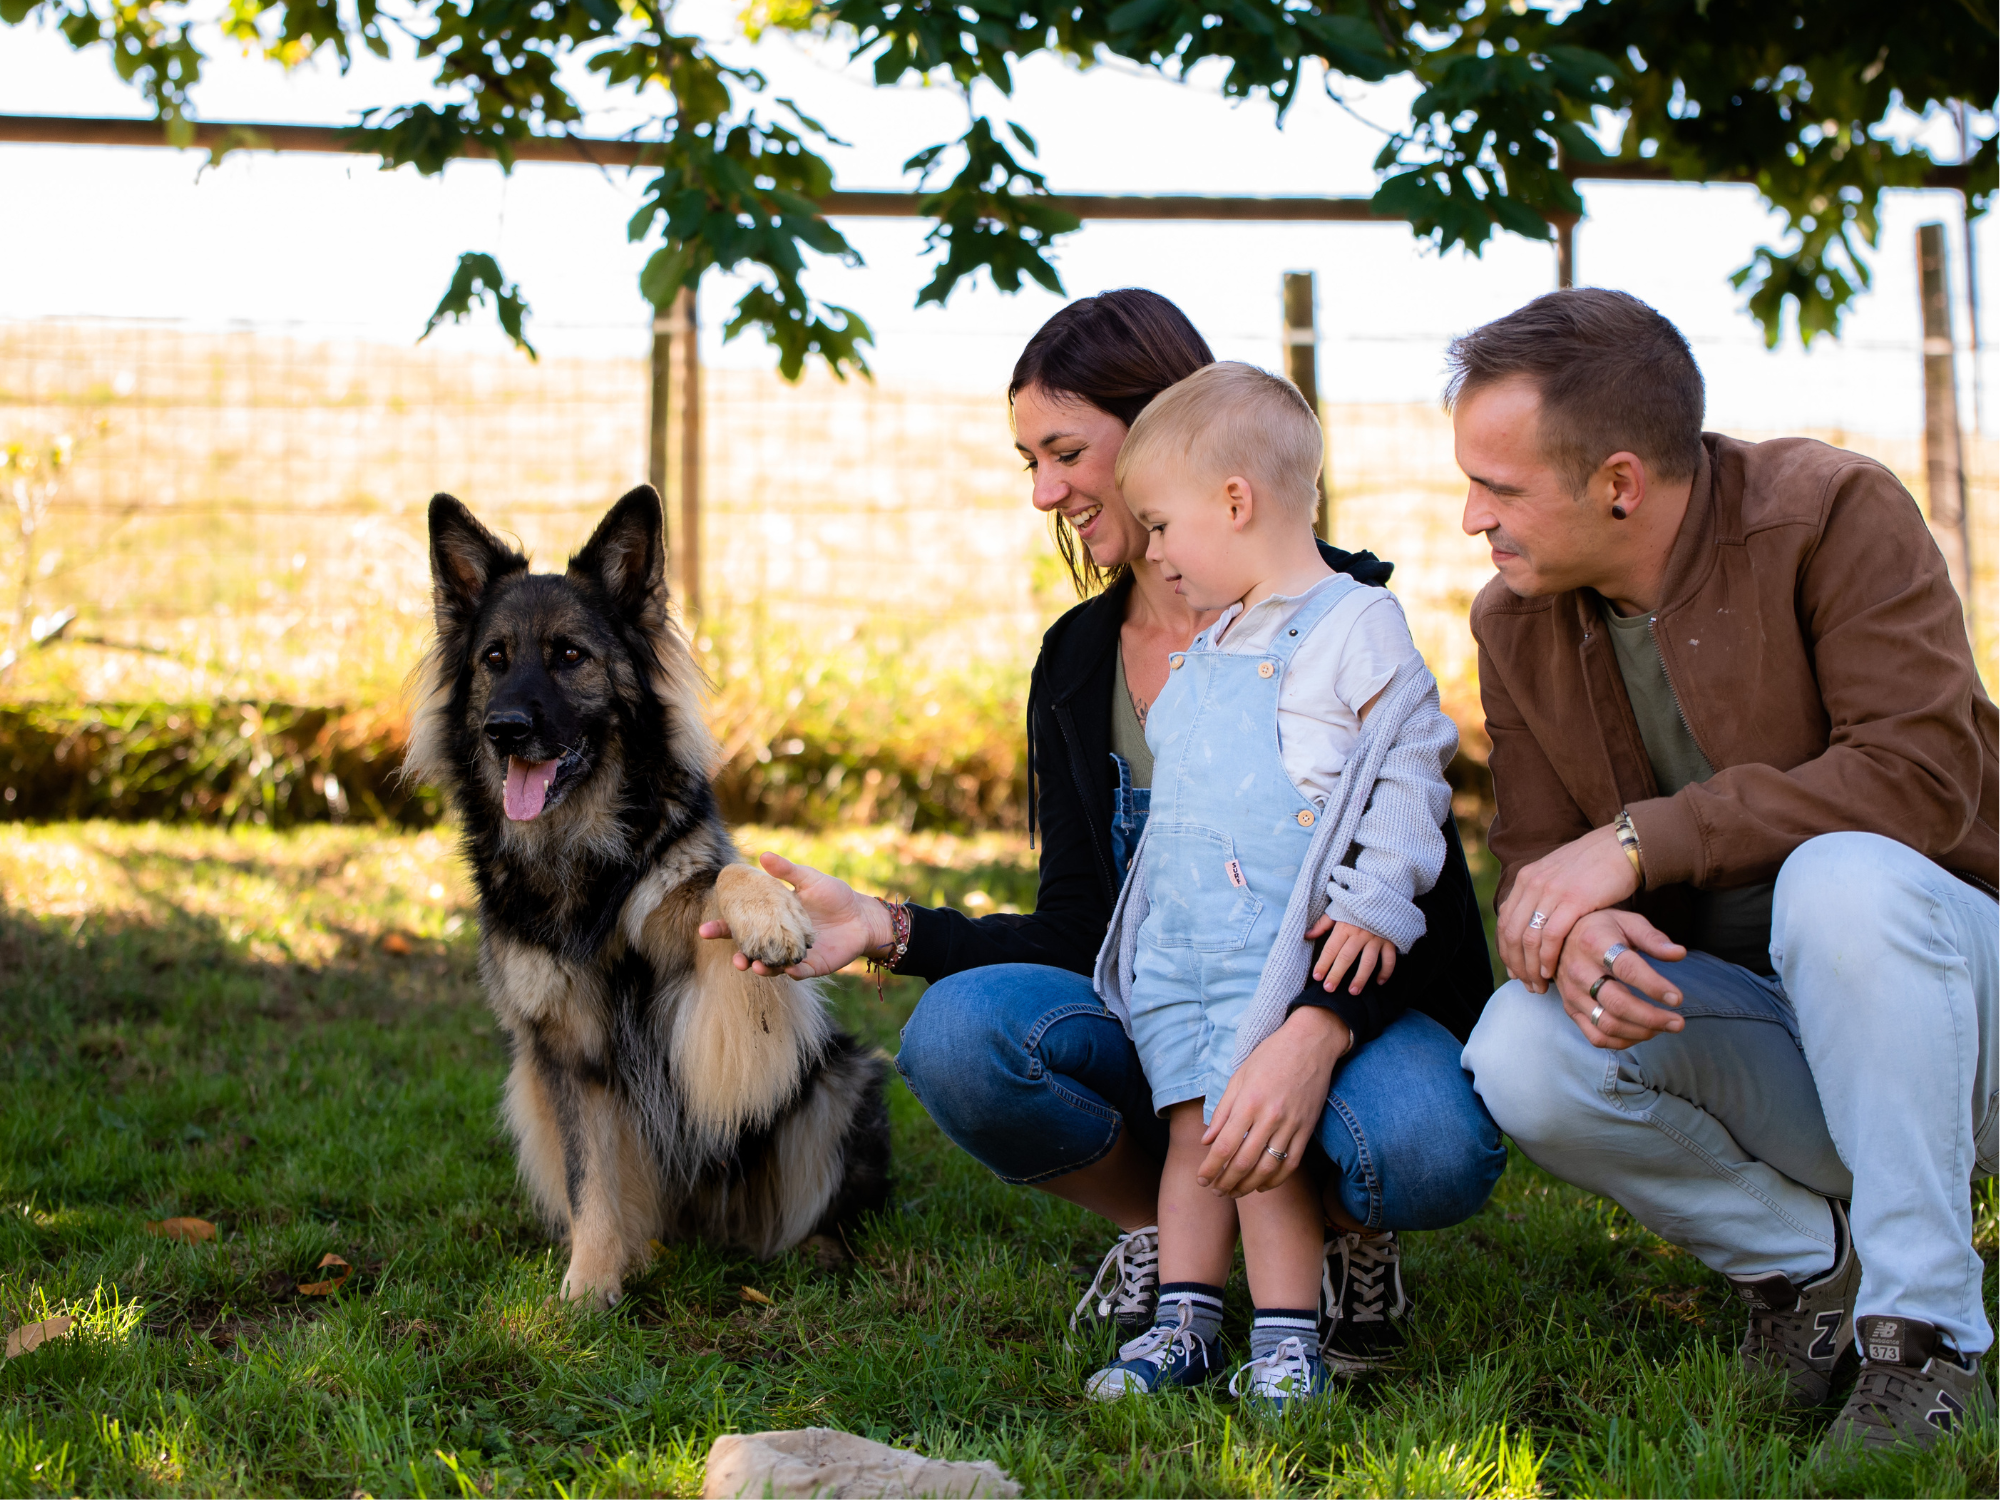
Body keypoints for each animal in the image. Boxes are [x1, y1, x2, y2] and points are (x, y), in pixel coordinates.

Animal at [406, 488, 892, 1312]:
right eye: (493, 659)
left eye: (571, 655)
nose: (505, 729)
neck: (581, 855)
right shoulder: (566, 1053)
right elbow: (592, 1181)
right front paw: (591, 1285)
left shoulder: (702, 984)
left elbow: (724, 876)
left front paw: (770, 915)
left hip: (841, 1080)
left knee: (825, 1202)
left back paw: (819, 1250)